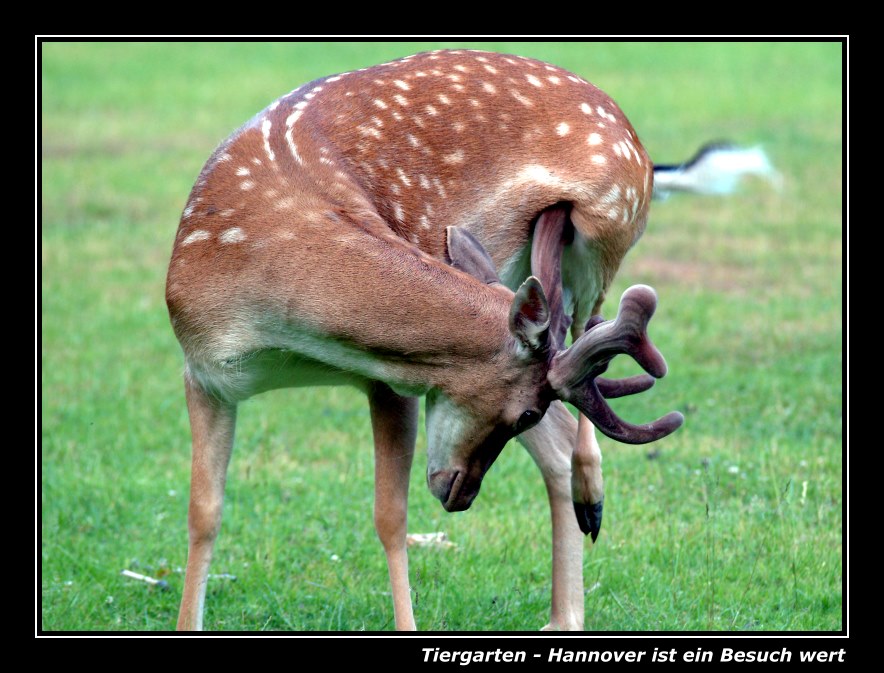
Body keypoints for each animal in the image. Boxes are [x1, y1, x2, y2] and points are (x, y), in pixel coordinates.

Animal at [167, 48, 692, 632]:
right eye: (524, 413)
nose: (460, 494)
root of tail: (634, 137)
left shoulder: (395, 379)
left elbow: (389, 517)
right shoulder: (204, 372)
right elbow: (203, 513)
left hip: (606, 232)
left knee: (586, 340)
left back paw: (590, 504)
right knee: (562, 417)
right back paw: (563, 613)